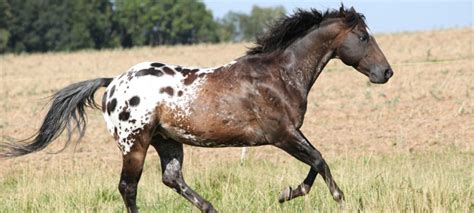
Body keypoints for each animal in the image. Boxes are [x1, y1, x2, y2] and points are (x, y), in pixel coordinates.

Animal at [0, 5, 392, 212]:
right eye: (363, 37)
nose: (385, 72)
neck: (279, 74)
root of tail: (112, 82)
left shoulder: (288, 134)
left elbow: (314, 163)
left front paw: (287, 193)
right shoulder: (282, 134)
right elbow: (319, 160)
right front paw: (336, 197)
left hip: (168, 140)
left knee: (171, 178)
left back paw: (211, 208)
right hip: (135, 142)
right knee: (128, 186)